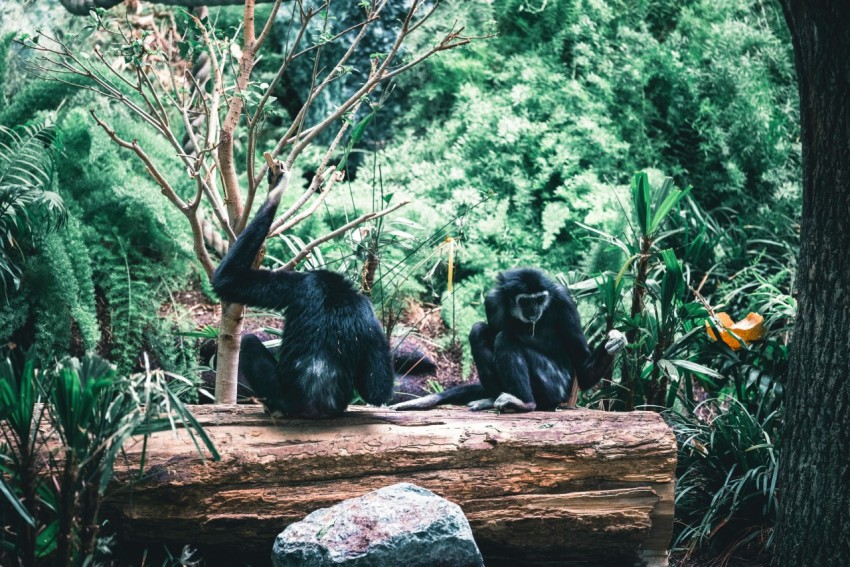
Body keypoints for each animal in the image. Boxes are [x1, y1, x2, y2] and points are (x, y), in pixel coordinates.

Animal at [214, 166, 396, 420]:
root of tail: (313, 407)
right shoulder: (366, 311)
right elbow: (377, 390)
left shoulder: (299, 283)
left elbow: (228, 280)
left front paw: (276, 192)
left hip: (280, 393)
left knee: (249, 342)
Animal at [390, 270, 624, 412]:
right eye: (526, 301)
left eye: (540, 299)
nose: (535, 309)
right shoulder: (492, 301)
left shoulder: (564, 301)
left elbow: (584, 370)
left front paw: (612, 345)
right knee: (479, 330)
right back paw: (493, 399)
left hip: (555, 386)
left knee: (505, 338)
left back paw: (526, 403)